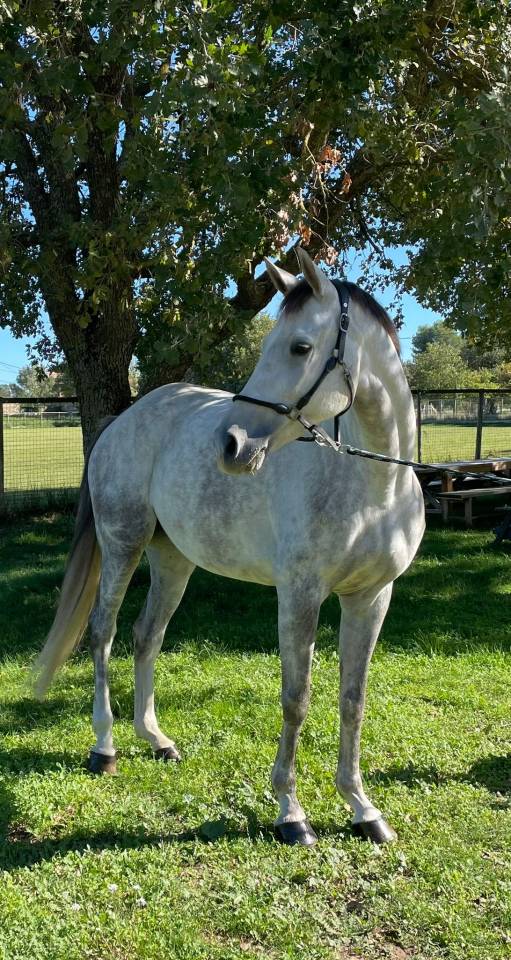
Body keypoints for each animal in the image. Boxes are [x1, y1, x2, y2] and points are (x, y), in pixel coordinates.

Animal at [34, 246, 425, 846]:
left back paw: (157, 740)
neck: (370, 487)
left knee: (146, 635)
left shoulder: (371, 597)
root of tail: (122, 422)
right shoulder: (300, 595)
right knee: (103, 633)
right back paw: (105, 747)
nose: (233, 444)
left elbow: (352, 700)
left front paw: (363, 808)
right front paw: (291, 812)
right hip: (123, 544)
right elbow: (296, 698)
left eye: (300, 347)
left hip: (172, 560)